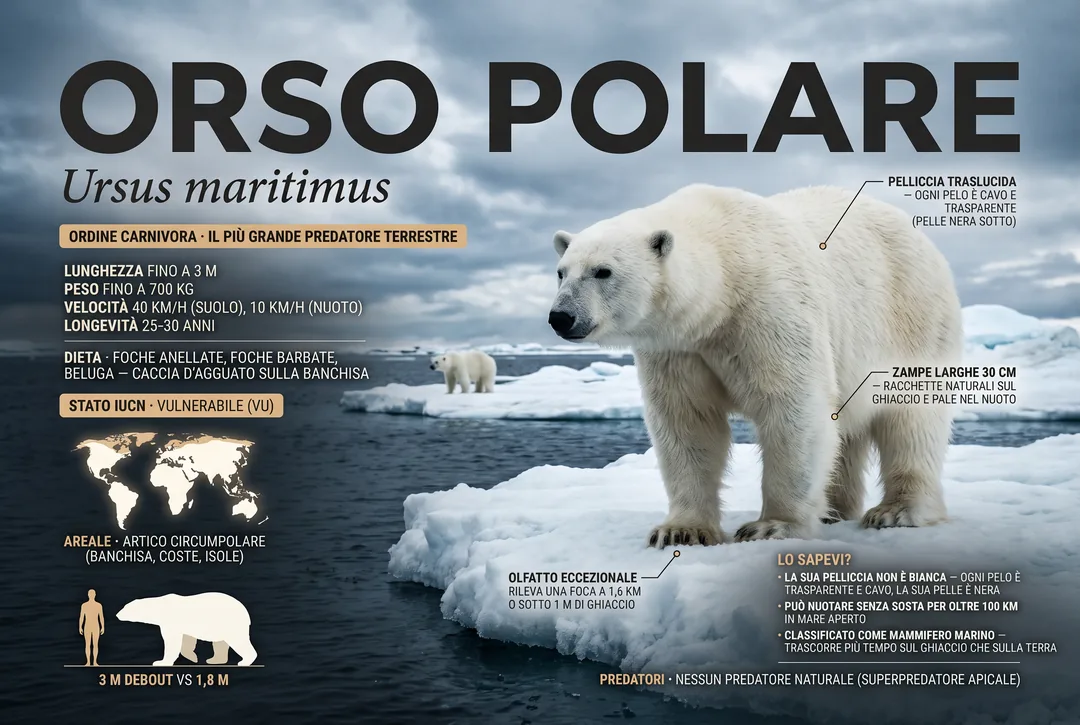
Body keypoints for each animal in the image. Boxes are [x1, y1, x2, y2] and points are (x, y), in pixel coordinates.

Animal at [116, 592, 258, 666]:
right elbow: (187, 639)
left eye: (125, 607)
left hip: (230, 623)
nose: (117, 614)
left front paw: (161, 662)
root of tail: (246, 613)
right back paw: (214, 660)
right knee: (220, 643)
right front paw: (192, 657)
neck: (160, 607)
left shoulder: (170, 621)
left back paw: (244, 661)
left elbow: (172, 641)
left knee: (238, 641)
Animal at [547, 184, 963, 547]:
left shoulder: (768, 308)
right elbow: (687, 421)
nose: (561, 317)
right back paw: (833, 510)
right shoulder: (677, 347)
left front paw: (772, 526)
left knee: (911, 420)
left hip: (911, 318)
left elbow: (793, 407)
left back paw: (896, 511)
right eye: (562, 271)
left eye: (603, 271)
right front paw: (680, 531)